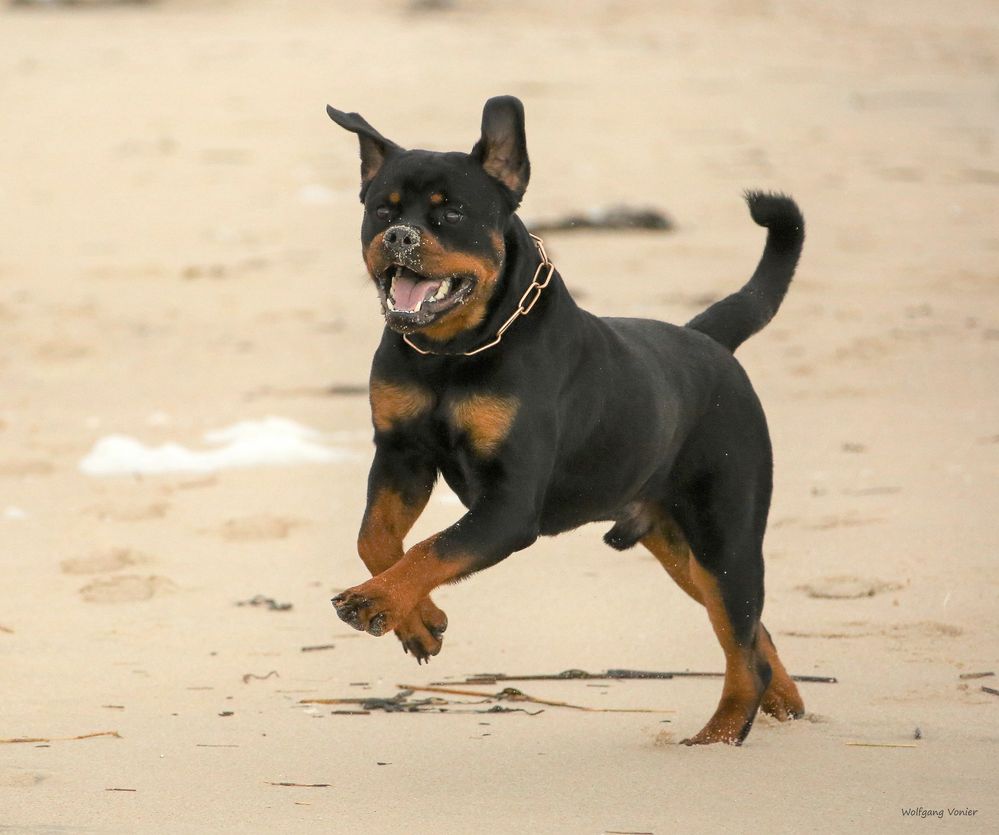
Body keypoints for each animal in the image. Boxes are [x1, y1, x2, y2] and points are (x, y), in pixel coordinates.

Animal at [326, 96, 804, 744]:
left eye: (451, 211)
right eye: (382, 209)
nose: (399, 236)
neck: (452, 355)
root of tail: (708, 342)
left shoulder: (509, 505)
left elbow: (431, 549)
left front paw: (378, 601)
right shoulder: (401, 455)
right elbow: (377, 539)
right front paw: (417, 620)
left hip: (723, 533)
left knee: (743, 643)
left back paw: (715, 739)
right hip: (682, 550)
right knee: (752, 633)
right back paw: (785, 704)